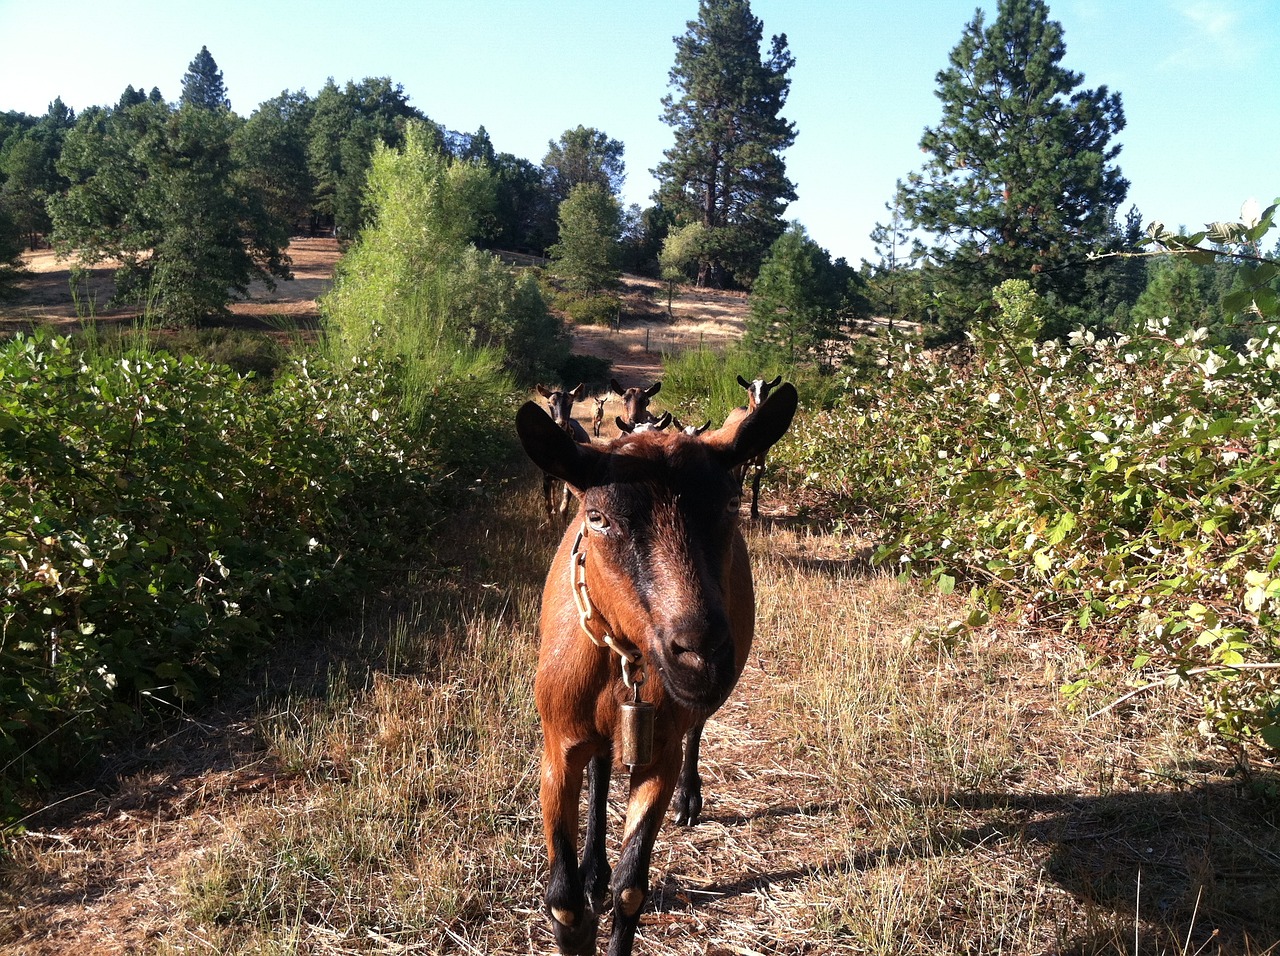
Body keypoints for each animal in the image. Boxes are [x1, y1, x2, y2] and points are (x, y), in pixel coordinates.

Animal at [514, 383, 793, 956]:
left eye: (730, 502)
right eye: (597, 517)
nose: (702, 654)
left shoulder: (659, 751)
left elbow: (631, 890)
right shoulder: (557, 746)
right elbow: (565, 902)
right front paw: (585, 883)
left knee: (696, 730)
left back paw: (690, 800)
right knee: (601, 766)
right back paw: (594, 866)